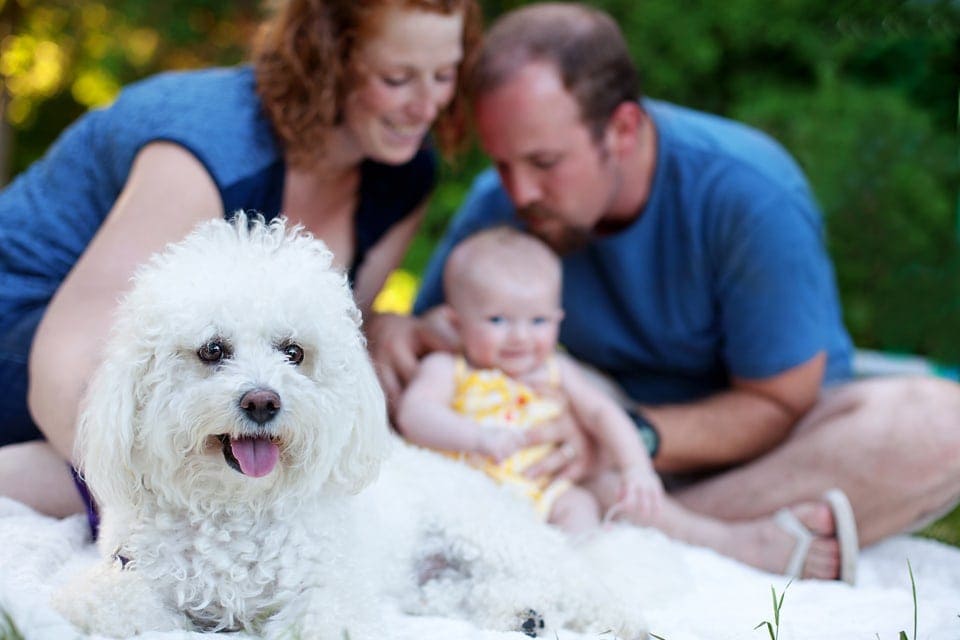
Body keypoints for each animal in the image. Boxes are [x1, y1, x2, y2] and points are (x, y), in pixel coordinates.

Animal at [54, 216, 652, 640]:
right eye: (212, 350)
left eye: (294, 352)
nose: (263, 401)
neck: (235, 509)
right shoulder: (119, 578)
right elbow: (118, 606)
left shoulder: (334, 594)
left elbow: (322, 617)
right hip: (441, 580)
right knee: (463, 594)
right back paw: (522, 615)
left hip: (492, 535)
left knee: (581, 587)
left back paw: (606, 619)